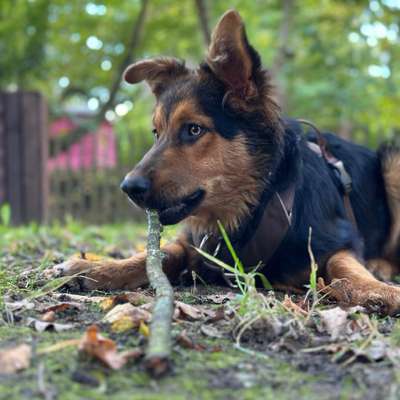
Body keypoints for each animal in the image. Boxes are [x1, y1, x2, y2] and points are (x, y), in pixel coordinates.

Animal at [47, 10, 400, 316]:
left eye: (193, 129)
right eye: (156, 132)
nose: (128, 187)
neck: (259, 204)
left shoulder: (339, 240)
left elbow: (344, 267)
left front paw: (380, 290)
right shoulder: (195, 247)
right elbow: (156, 254)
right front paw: (93, 266)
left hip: (392, 160)